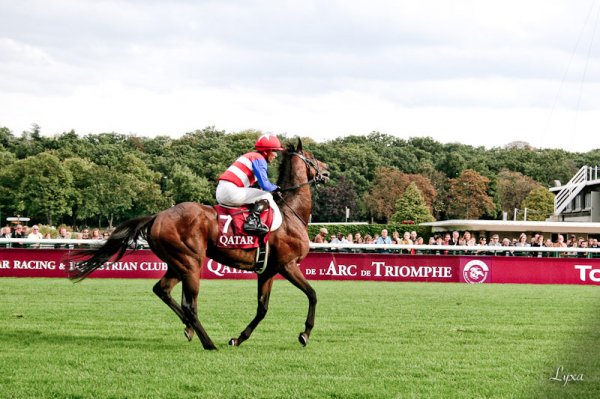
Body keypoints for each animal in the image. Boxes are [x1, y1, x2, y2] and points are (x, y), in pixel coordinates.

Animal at [68, 140, 330, 350]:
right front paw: (305, 334)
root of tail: (157, 216)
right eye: (313, 157)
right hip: (191, 262)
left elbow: (262, 309)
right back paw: (208, 342)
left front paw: (238, 338)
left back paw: (189, 328)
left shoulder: (267, 271)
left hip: (178, 263)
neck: (290, 213)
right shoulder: (288, 265)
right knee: (189, 305)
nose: (327, 171)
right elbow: (313, 295)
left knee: (162, 290)